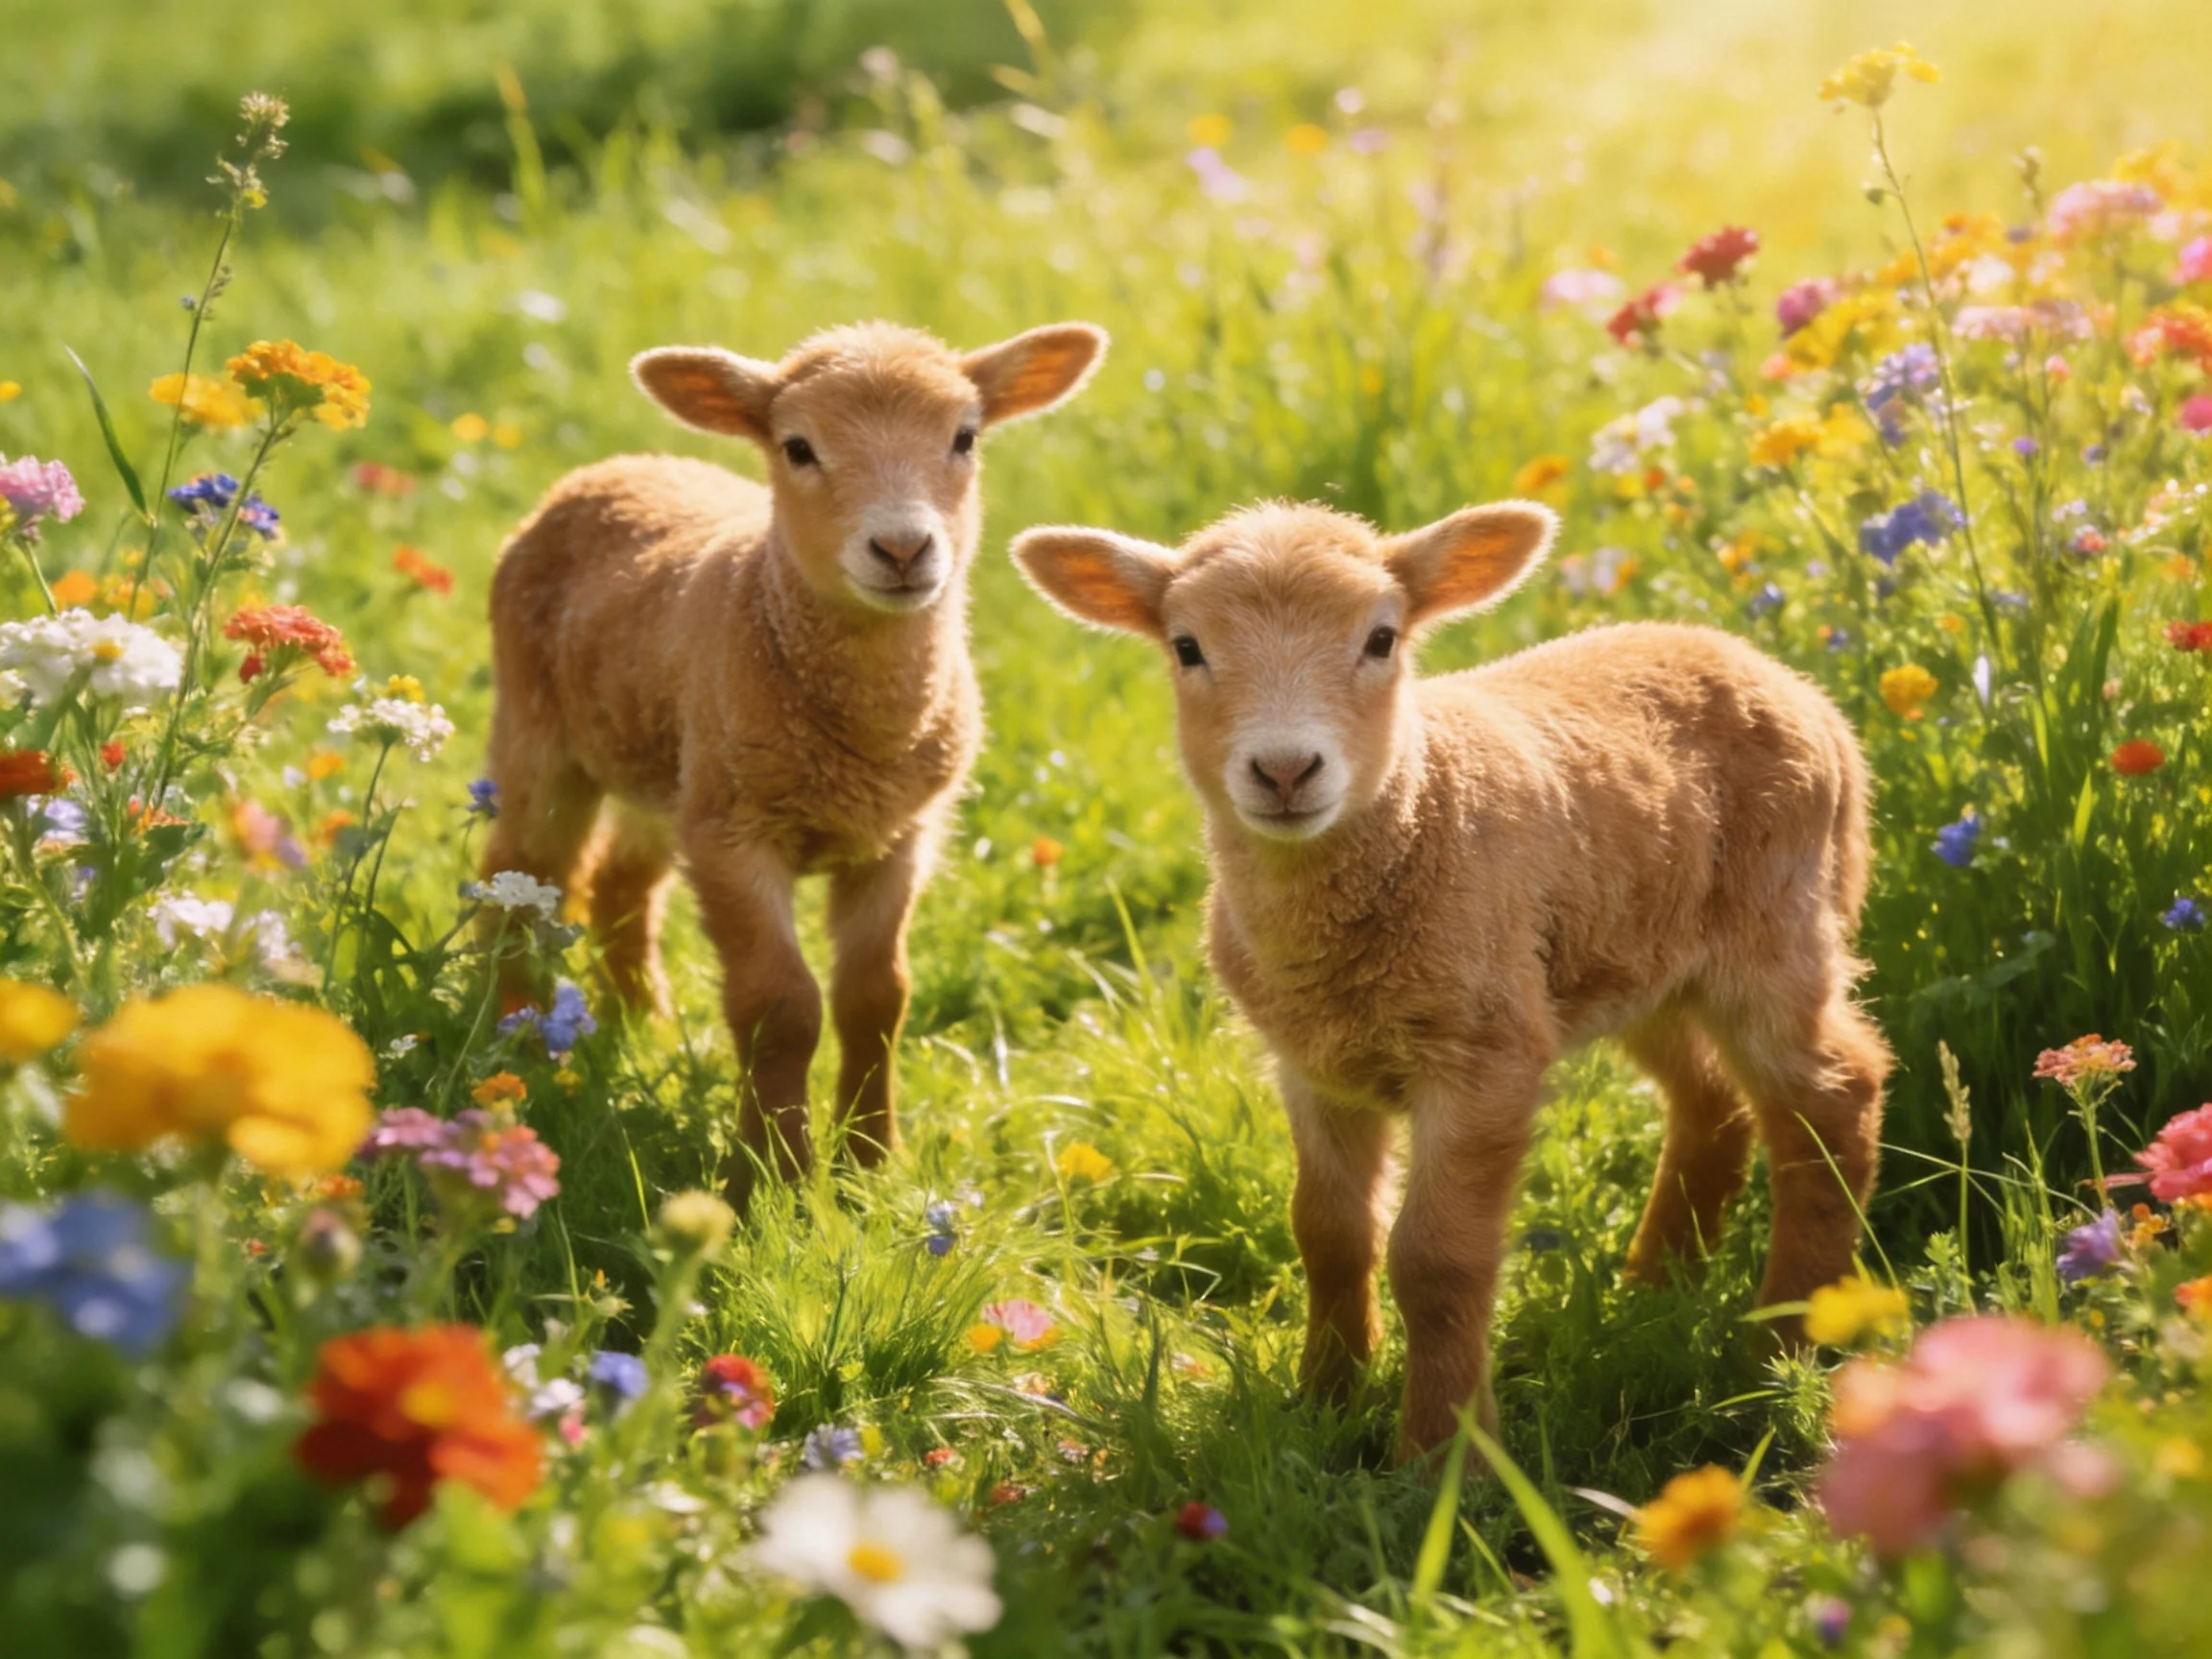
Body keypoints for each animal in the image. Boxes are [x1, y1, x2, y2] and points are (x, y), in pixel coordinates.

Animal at [482, 320, 1107, 1204]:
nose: (903, 547)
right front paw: (772, 1178)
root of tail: (614, 467)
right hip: (544, 736)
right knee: (516, 880)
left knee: (617, 885)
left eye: (965, 436)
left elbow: (876, 996)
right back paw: (516, 1045)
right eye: (798, 447)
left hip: (673, 767)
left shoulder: (897, 836)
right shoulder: (735, 836)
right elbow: (781, 1007)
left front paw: (869, 1166)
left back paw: (643, 1025)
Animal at [1012, 499, 1890, 1459]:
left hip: (1775, 930)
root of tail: (1796, 686)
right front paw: (1323, 1401)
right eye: (1187, 647)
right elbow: (1328, 1233)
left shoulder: (1484, 1053)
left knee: (1833, 1096)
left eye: (1381, 638)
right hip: (1631, 960)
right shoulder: (1313, 1064)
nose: (1285, 770)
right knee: (1711, 1103)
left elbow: (1435, 1260)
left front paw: (1443, 1453)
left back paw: (1783, 1346)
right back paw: (1655, 1291)